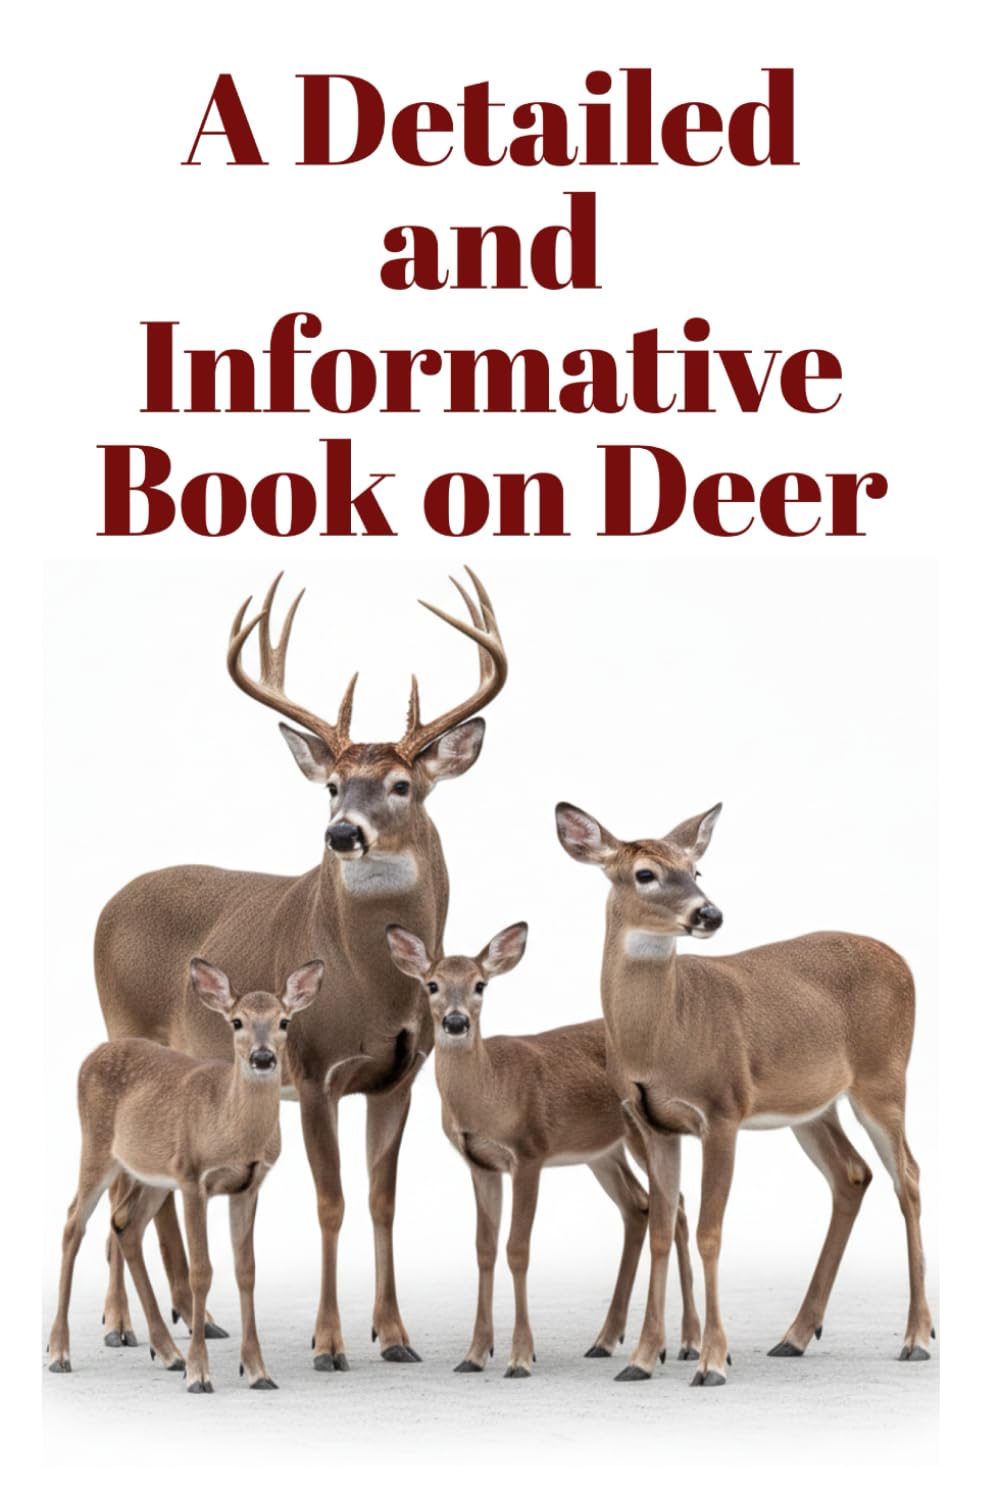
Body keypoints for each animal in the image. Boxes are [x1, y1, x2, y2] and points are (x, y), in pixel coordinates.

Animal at [48, 958, 323, 1392]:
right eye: (237, 1022)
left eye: (284, 1021)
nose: (262, 1058)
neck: (231, 1125)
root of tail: (93, 1053)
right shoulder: (194, 1179)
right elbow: (201, 1272)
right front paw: (200, 1373)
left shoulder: (247, 1186)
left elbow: (246, 1271)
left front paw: (258, 1371)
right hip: (97, 1147)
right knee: (74, 1221)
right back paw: (59, 1353)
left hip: (153, 1175)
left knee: (124, 1223)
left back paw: (166, 1352)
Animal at [93, 569, 507, 1372]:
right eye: (332, 785)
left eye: (402, 785)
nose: (341, 832)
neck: (371, 986)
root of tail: (107, 903)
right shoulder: (314, 1070)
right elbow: (331, 1200)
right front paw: (329, 1342)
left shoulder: (399, 1076)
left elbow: (382, 1200)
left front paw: (396, 1335)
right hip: (123, 1025)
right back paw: (125, 1326)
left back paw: (192, 1318)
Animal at [385, 920, 702, 1377]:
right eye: (432, 984)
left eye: (480, 984)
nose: (456, 1022)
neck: (490, 1090)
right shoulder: (481, 1164)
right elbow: (484, 1249)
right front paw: (474, 1354)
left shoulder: (529, 1153)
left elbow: (517, 1249)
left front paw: (520, 1356)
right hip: (602, 1153)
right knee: (638, 1207)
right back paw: (606, 1340)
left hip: (640, 1135)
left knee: (674, 1206)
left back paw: (688, 1343)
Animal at [555, 800, 934, 1387]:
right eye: (645, 874)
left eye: (697, 869)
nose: (710, 914)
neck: (664, 1034)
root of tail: (901, 959)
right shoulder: (653, 1124)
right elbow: (661, 1229)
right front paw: (641, 1359)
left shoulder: (722, 1111)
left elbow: (710, 1231)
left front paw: (711, 1361)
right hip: (811, 1106)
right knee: (853, 1174)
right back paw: (795, 1336)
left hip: (884, 1077)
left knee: (908, 1176)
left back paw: (916, 1338)